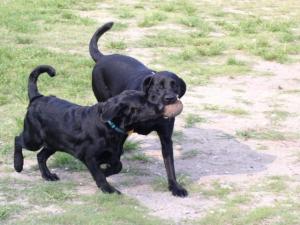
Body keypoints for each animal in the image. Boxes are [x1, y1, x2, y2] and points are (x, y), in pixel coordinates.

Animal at [13, 65, 164, 193]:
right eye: (143, 105)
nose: (161, 107)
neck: (109, 126)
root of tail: (37, 98)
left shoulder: (111, 154)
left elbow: (118, 166)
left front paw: (106, 172)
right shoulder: (89, 156)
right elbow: (99, 174)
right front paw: (108, 189)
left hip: (53, 142)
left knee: (40, 156)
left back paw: (47, 175)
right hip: (33, 138)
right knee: (18, 140)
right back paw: (18, 165)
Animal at [88, 22, 188, 196]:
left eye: (175, 85)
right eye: (158, 86)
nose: (170, 98)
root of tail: (104, 57)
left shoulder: (166, 137)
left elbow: (170, 164)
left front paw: (175, 186)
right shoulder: (123, 128)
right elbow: (116, 162)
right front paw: (105, 171)